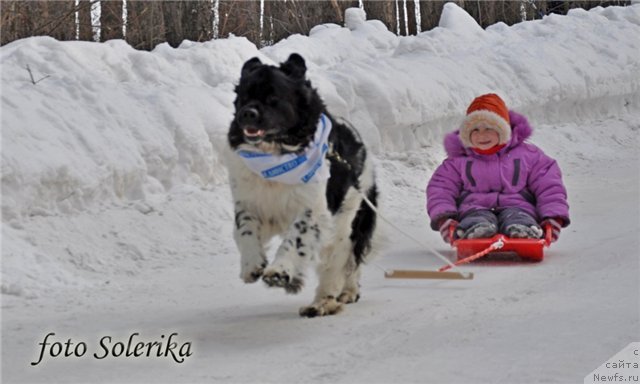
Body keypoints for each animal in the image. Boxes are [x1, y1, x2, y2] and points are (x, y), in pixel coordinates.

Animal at [225, 54, 378, 318]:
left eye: (273, 97)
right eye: (244, 96)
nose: (247, 113)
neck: (276, 155)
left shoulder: (313, 208)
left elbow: (296, 239)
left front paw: (278, 272)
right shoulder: (249, 202)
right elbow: (245, 230)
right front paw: (251, 265)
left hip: (348, 221)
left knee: (343, 263)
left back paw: (327, 301)